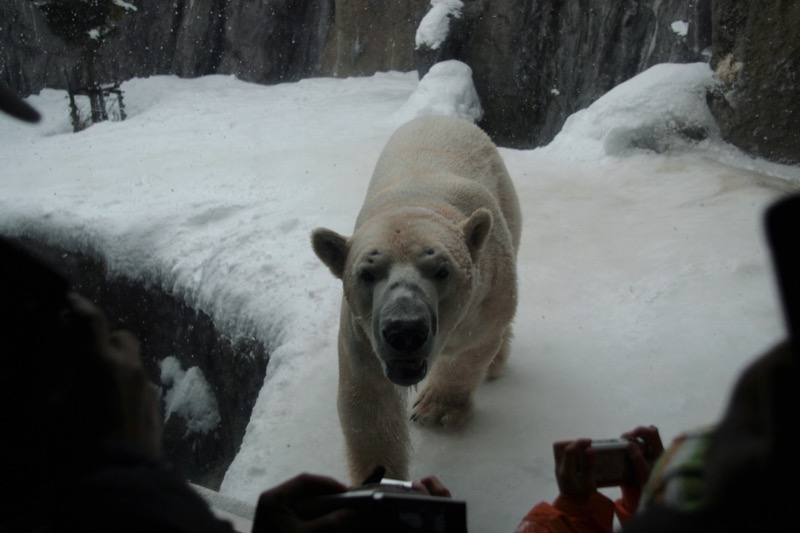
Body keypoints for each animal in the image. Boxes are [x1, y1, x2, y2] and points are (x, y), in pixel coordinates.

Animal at [310, 116, 520, 482]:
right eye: (367, 273)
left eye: (441, 270)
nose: (405, 330)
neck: (416, 202)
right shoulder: (361, 332)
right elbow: (370, 404)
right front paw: (379, 477)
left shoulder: (483, 300)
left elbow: (470, 349)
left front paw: (434, 410)